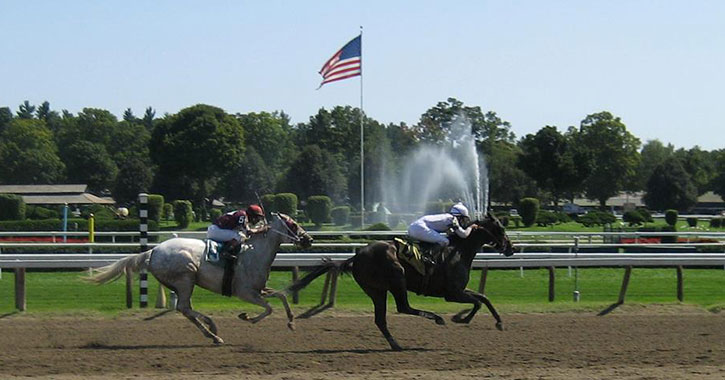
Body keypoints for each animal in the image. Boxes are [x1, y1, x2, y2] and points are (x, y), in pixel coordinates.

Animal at [87, 212, 312, 346]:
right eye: (293, 223)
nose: (309, 239)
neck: (253, 252)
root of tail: (153, 251)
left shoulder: (260, 289)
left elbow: (281, 296)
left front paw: (291, 322)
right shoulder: (245, 292)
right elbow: (269, 308)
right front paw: (247, 317)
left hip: (184, 283)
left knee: (186, 309)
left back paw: (212, 334)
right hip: (186, 279)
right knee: (183, 307)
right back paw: (213, 328)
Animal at [286, 212, 512, 348]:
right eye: (501, 229)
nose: (510, 249)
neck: (459, 250)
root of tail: (356, 256)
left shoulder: (459, 290)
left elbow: (483, 298)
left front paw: (499, 322)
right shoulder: (452, 293)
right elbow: (477, 302)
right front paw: (461, 318)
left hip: (376, 290)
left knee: (381, 319)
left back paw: (395, 344)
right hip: (397, 278)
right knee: (403, 307)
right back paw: (436, 319)